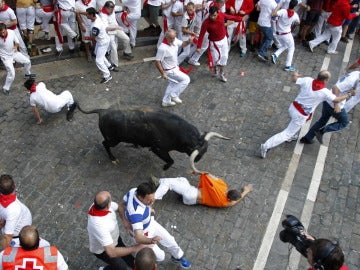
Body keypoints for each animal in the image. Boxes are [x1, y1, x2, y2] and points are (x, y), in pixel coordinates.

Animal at [78, 105, 231, 170]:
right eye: (197, 153)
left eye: (206, 150)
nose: (198, 160)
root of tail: (102, 111)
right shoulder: (159, 149)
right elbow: (171, 161)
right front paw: (165, 167)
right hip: (113, 140)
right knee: (104, 143)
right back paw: (113, 159)